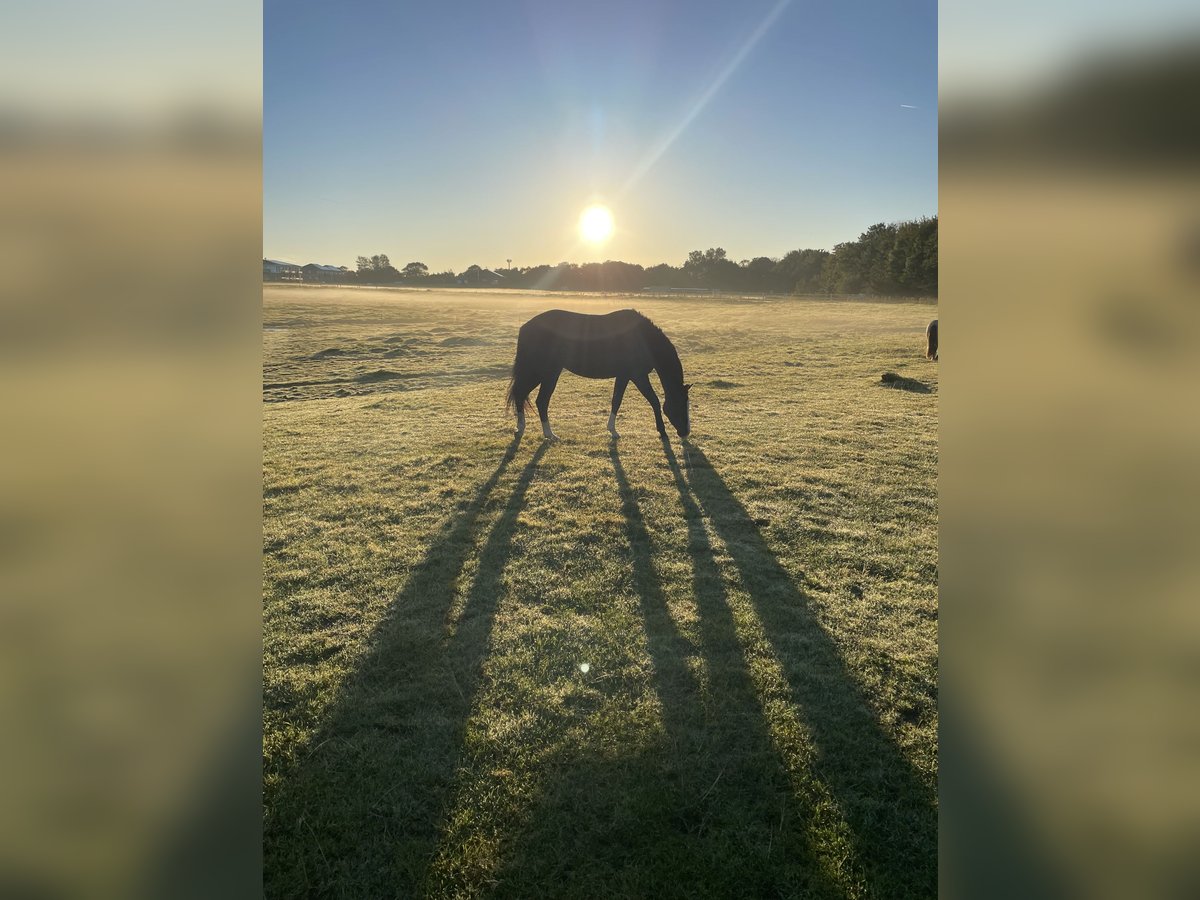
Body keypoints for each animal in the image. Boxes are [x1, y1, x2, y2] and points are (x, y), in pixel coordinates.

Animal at [506, 309, 696, 441]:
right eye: (680, 405)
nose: (685, 433)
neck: (643, 338)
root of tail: (526, 327)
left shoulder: (624, 376)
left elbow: (616, 400)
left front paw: (613, 430)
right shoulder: (637, 375)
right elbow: (654, 401)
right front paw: (662, 432)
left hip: (544, 372)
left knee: (525, 396)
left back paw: (526, 429)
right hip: (545, 372)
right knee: (535, 398)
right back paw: (544, 433)